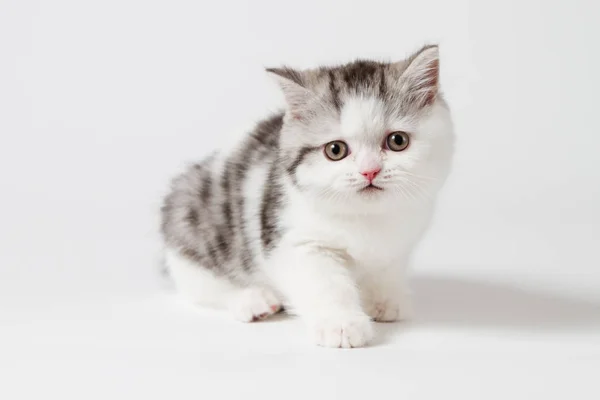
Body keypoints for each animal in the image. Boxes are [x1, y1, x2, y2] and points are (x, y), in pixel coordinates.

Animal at [161, 45, 454, 348]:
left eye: (398, 141)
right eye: (335, 150)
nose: (369, 171)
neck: (365, 217)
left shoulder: (399, 243)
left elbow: (386, 268)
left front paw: (384, 300)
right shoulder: (299, 241)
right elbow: (326, 284)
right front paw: (341, 325)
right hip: (191, 226)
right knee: (202, 286)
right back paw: (252, 300)